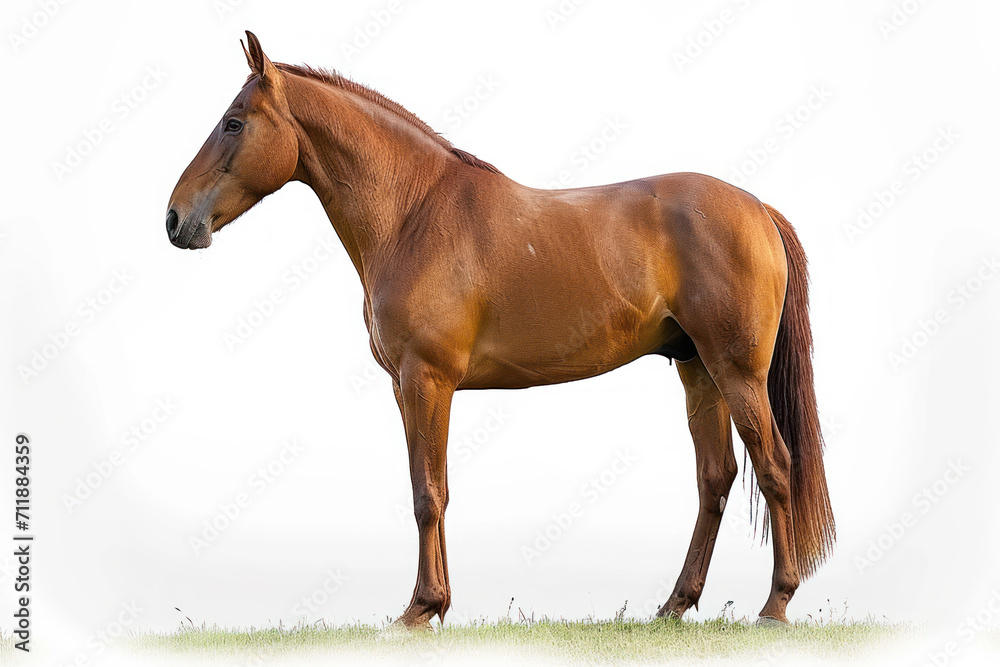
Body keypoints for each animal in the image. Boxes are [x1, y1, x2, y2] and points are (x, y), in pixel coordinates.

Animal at [166, 32, 835, 629]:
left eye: (232, 123)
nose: (175, 219)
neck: (414, 213)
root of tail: (758, 209)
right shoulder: (406, 388)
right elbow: (430, 488)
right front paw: (435, 605)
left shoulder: (427, 379)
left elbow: (427, 493)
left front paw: (420, 609)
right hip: (698, 370)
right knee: (715, 479)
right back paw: (675, 605)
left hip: (736, 372)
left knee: (775, 467)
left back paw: (774, 606)